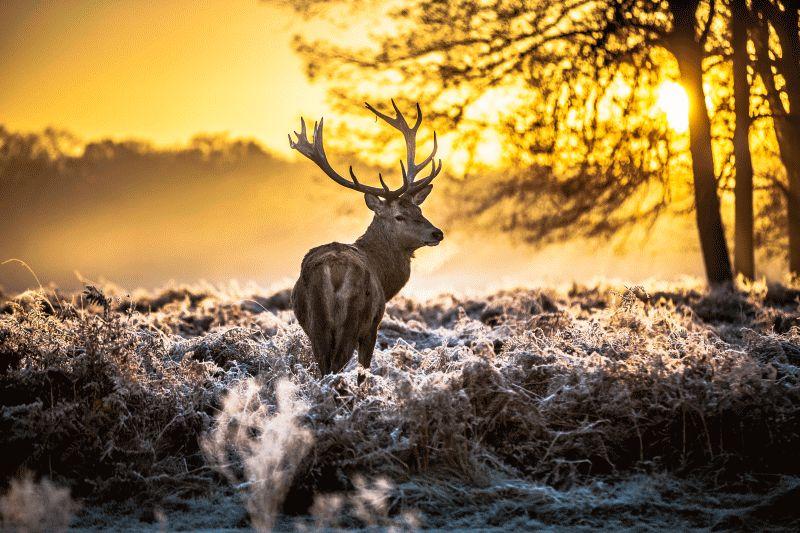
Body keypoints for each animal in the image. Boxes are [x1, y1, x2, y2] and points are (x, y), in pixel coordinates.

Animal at [288, 100, 444, 382]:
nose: (437, 233)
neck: (384, 275)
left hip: (316, 324)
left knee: (323, 367)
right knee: (336, 365)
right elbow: (364, 369)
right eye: (399, 216)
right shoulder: (373, 325)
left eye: (420, 210)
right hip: (353, 320)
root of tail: (333, 272)